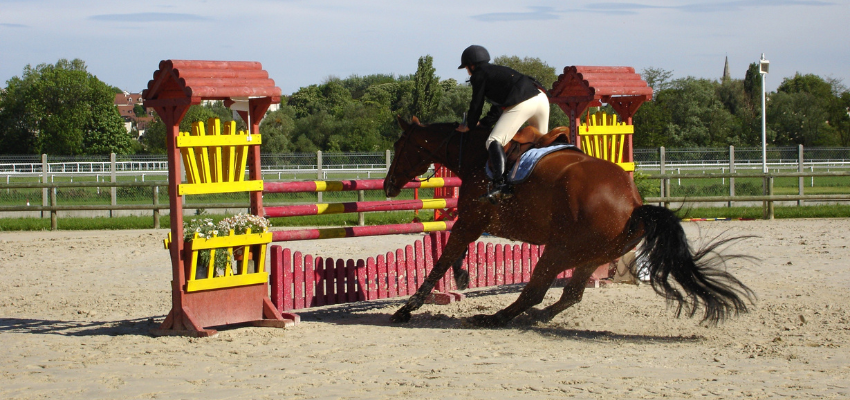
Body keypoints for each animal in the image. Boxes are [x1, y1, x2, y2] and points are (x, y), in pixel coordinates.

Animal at [380, 116, 752, 328]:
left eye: (400, 145)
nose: (388, 185)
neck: (475, 153)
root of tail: (634, 205)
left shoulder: (471, 221)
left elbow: (442, 260)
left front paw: (408, 308)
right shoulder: (471, 222)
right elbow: (451, 254)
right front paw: (461, 277)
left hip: (559, 250)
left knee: (535, 291)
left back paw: (495, 318)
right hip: (591, 256)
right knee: (571, 294)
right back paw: (536, 317)